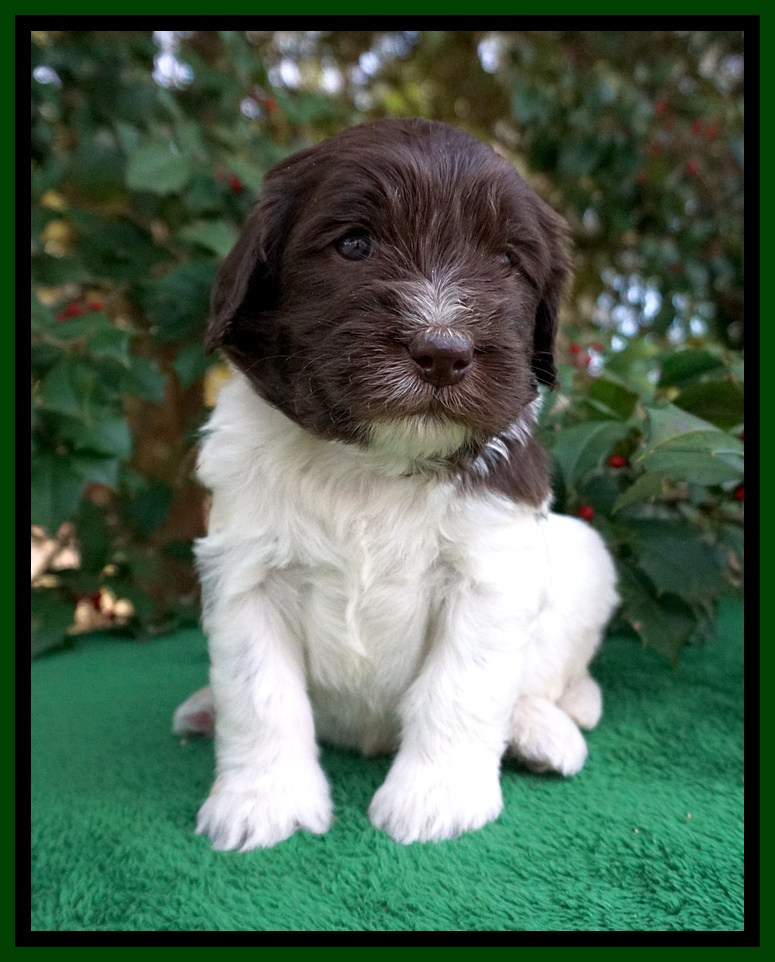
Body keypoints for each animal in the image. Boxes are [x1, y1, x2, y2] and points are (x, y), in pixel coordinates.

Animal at [173, 118, 619, 850]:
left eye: (506, 262)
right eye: (354, 245)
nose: (442, 351)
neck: (372, 465)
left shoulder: (488, 574)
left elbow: (459, 688)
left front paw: (435, 799)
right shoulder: (245, 572)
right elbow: (259, 694)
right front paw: (262, 802)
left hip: (584, 554)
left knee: (550, 678)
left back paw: (541, 729)